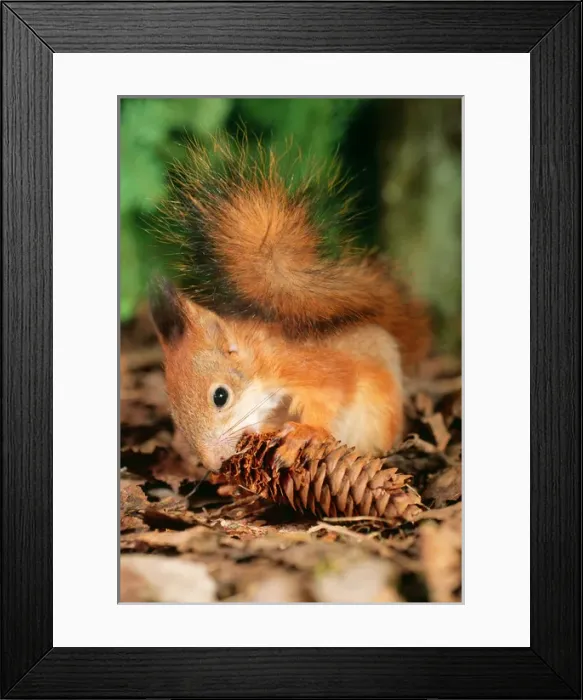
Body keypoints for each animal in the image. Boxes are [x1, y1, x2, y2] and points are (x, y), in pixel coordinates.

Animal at [149, 136, 432, 471]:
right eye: (175, 415)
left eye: (220, 396)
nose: (214, 464)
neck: (262, 365)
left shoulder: (311, 366)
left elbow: (334, 394)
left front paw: (304, 433)